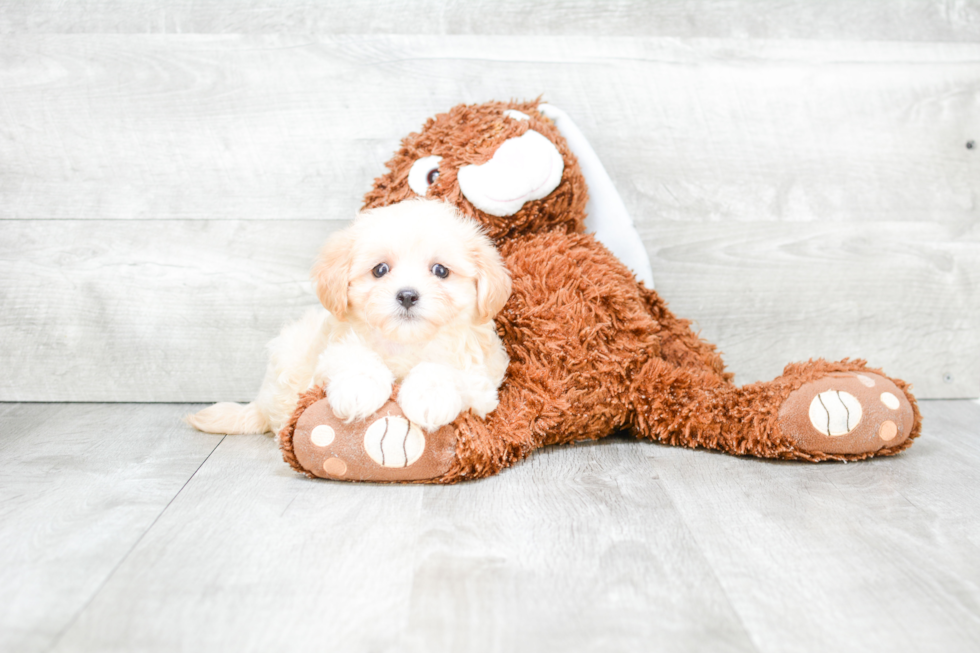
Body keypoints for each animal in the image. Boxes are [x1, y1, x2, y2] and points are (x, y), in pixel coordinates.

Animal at [189, 196, 516, 436]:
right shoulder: (332, 352)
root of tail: (262, 401)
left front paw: (430, 398)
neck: (404, 344)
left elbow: (444, 369)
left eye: (440, 271)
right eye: (380, 270)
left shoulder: (481, 379)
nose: (407, 295)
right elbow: (354, 358)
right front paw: (359, 390)